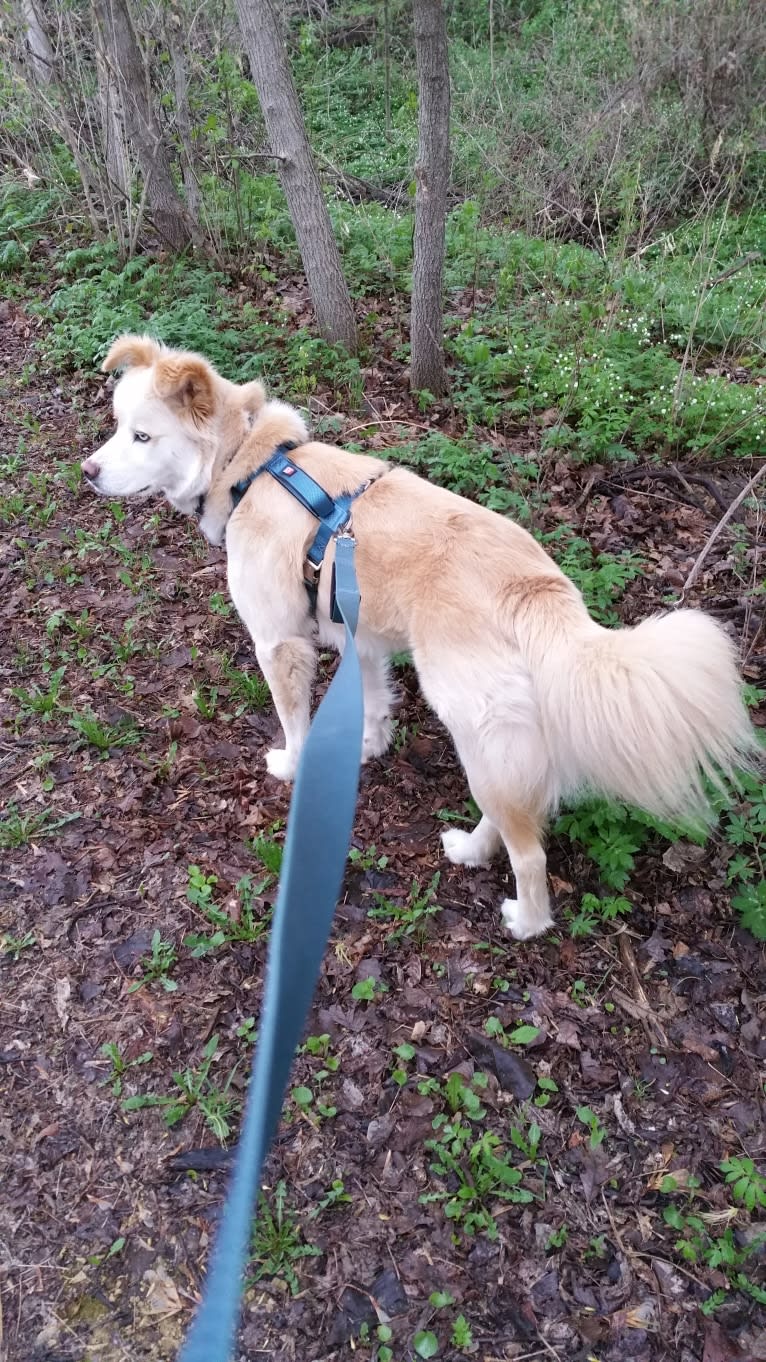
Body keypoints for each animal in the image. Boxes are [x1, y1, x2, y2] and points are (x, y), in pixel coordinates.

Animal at [82, 335, 752, 942]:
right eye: (116, 427)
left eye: (142, 437)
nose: (87, 472)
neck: (252, 465)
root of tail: (536, 589)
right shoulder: (359, 634)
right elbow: (375, 700)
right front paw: (370, 747)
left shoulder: (279, 641)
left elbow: (294, 721)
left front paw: (292, 766)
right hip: (496, 737)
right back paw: (471, 851)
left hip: (472, 723)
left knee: (529, 850)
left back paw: (523, 916)